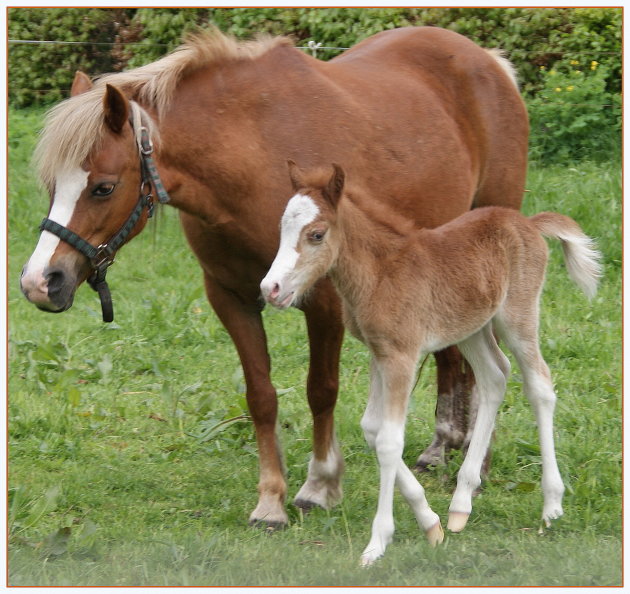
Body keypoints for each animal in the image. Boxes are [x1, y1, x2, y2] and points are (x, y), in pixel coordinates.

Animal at [260, 162, 604, 564]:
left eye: (316, 234)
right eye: (282, 229)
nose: (271, 289)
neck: (380, 272)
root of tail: (529, 223)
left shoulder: (402, 356)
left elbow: (389, 440)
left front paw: (377, 543)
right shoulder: (379, 353)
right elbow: (372, 429)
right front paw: (430, 522)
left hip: (517, 315)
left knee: (540, 386)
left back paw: (551, 506)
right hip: (471, 326)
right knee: (495, 376)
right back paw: (460, 505)